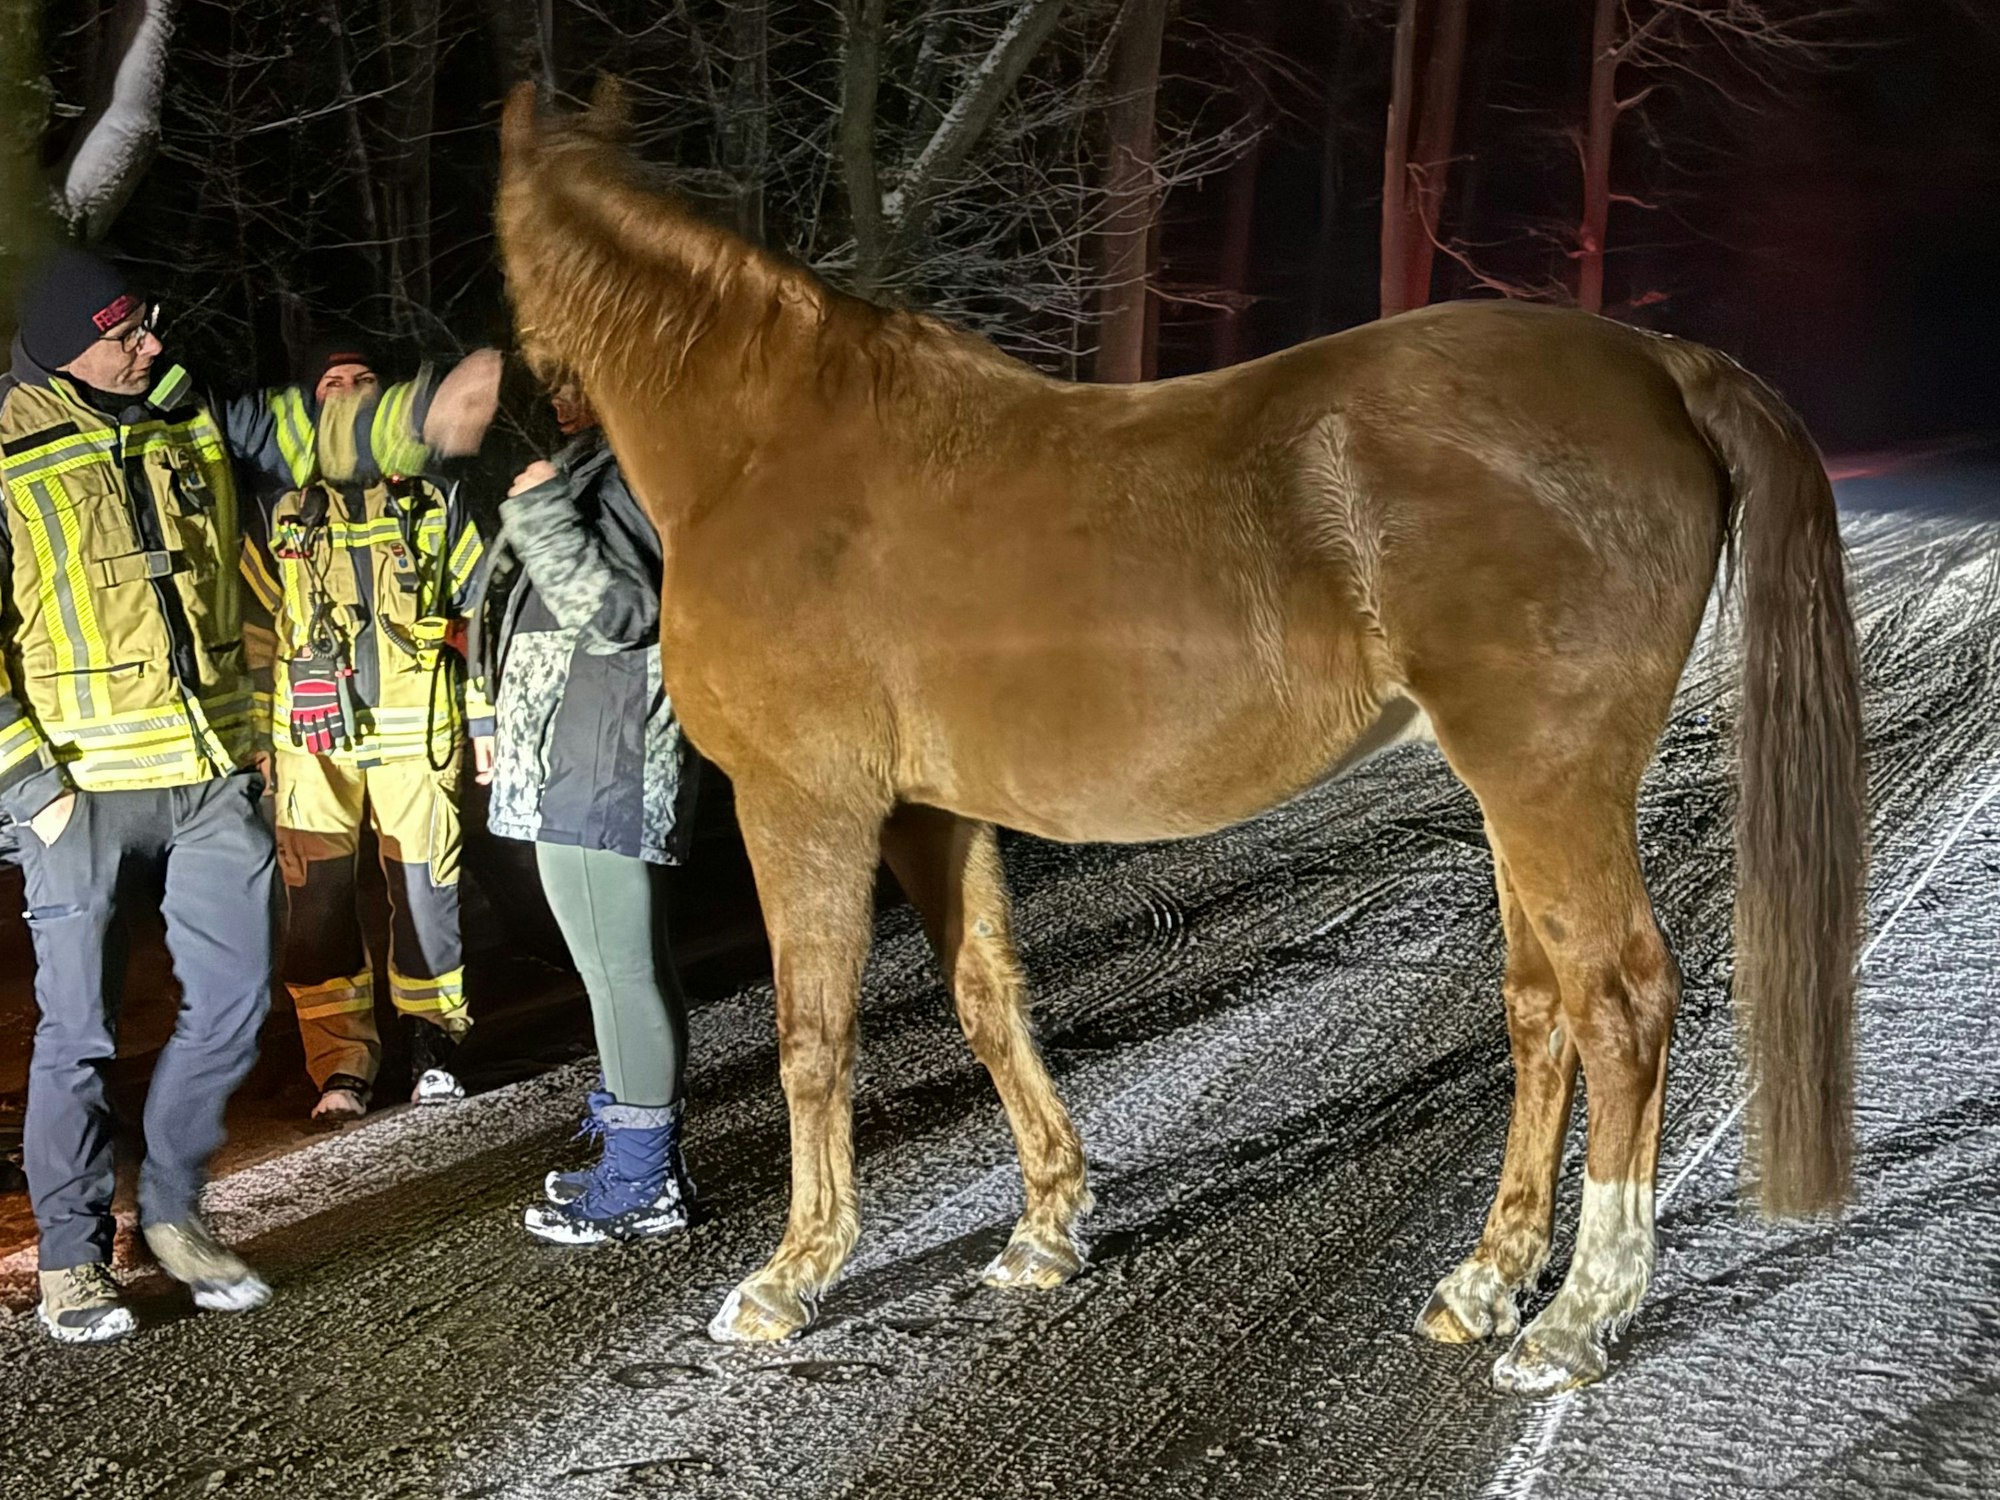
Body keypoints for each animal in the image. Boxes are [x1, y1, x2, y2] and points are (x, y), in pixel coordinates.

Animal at [494, 83, 1863, 1395]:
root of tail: (1654, 361)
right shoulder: (936, 810)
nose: (529, 417)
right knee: (1543, 1009)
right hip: (1515, 794)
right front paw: (1046, 1228)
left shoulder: (804, 803)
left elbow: (812, 1040)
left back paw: (1576, 1318)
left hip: (1547, 782)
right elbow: (988, 998)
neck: (771, 445)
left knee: (1619, 1003)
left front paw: (791, 1276)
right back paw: (1483, 1282)